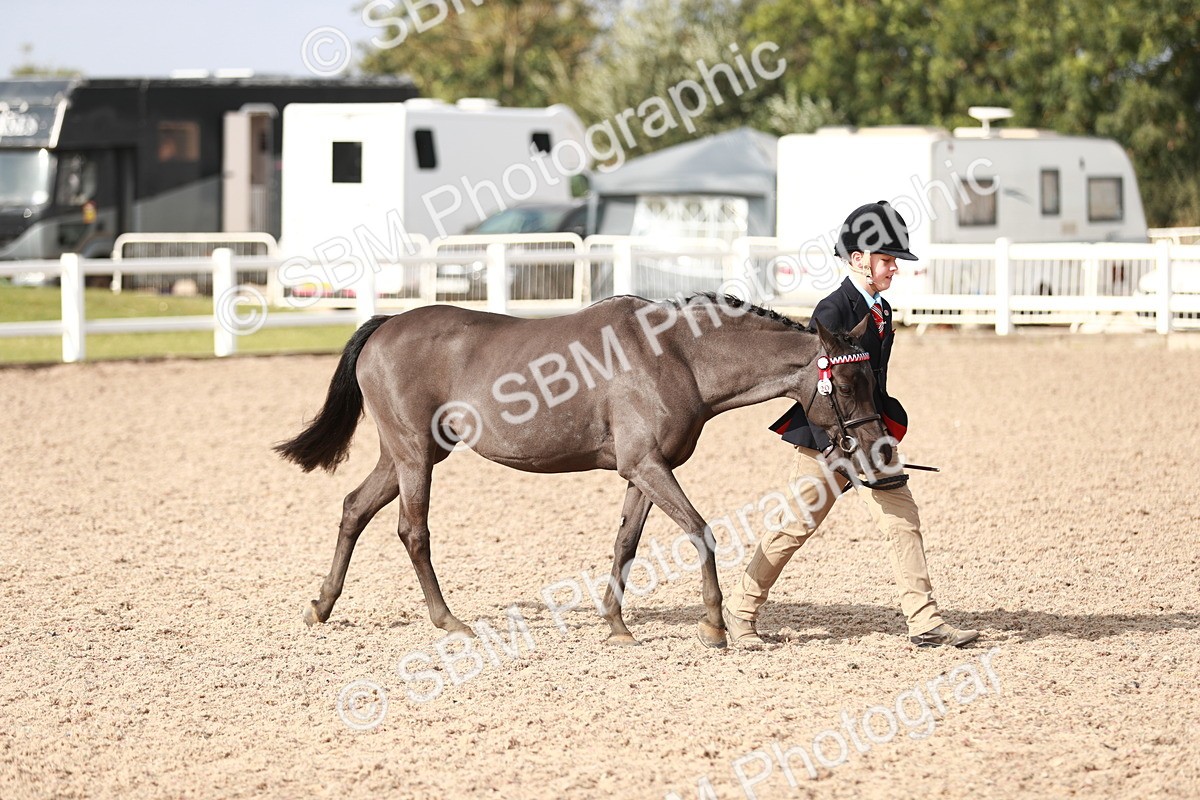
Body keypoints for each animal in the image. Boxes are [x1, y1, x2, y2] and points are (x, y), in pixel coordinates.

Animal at [275, 293, 891, 648]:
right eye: (849, 383)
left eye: (870, 377)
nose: (878, 449)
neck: (676, 354)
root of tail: (386, 324)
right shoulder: (648, 466)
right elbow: (701, 532)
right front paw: (714, 627)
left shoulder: (641, 472)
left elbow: (626, 544)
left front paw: (616, 626)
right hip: (413, 456)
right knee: (413, 531)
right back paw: (448, 620)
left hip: (405, 455)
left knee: (355, 508)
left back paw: (321, 607)